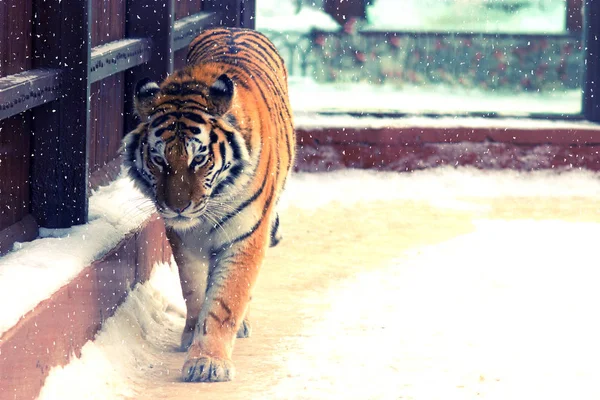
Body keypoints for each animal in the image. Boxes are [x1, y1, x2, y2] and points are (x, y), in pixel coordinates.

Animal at [120, 26, 296, 382]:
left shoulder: (245, 235)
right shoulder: (184, 237)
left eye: (199, 159)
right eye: (158, 160)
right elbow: (194, 288)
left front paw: (208, 362)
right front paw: (192, 335)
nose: (177, 207)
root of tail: (234, 27)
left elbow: (225, 300)